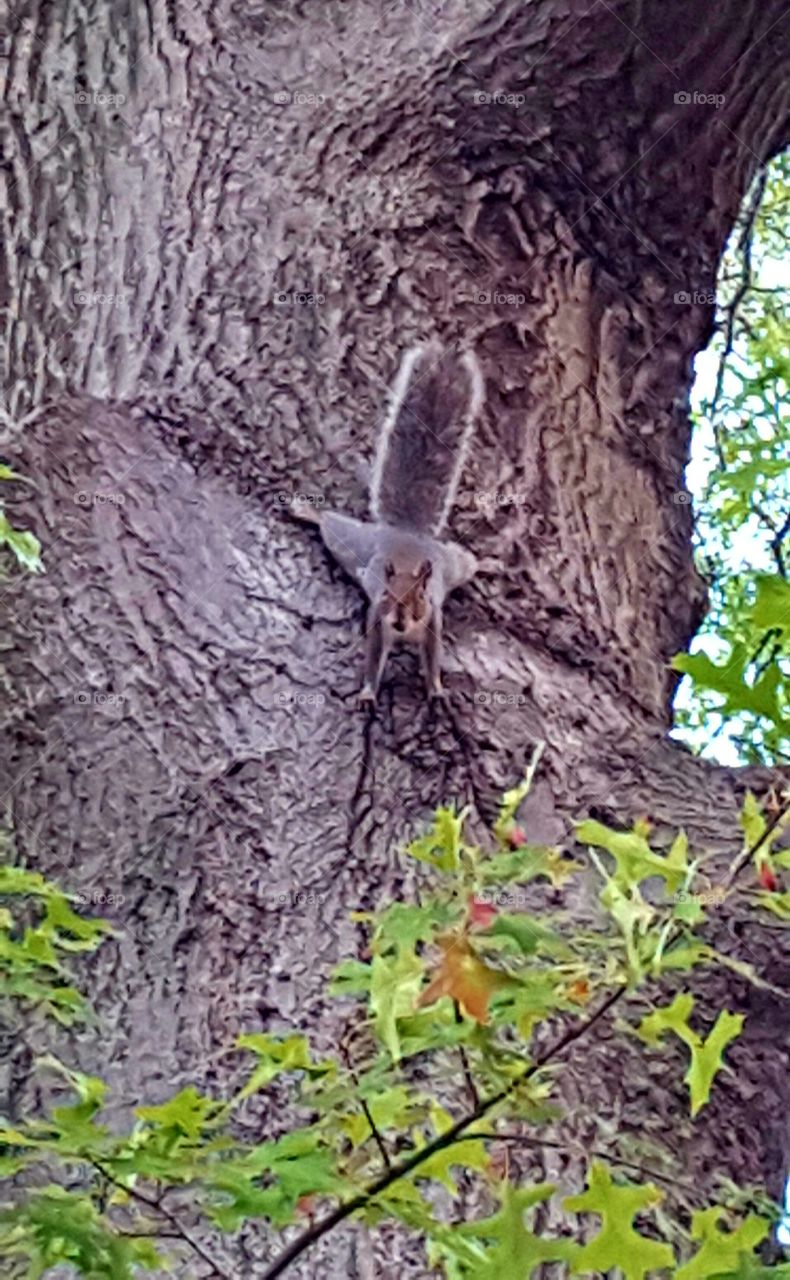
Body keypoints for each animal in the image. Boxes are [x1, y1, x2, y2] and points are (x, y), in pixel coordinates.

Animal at [295, 341, 484, 703]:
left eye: (420, 596)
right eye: (386, 593)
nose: (399, 622)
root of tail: (406, 533)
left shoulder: (433, 619)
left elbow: (433, 657)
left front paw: (436, 690)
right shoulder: (377, 619)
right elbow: (373, 656)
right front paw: (368, 693)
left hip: (452, 565)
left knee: (467, 562)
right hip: (350, 542)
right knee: (330, 525)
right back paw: (306, 511)